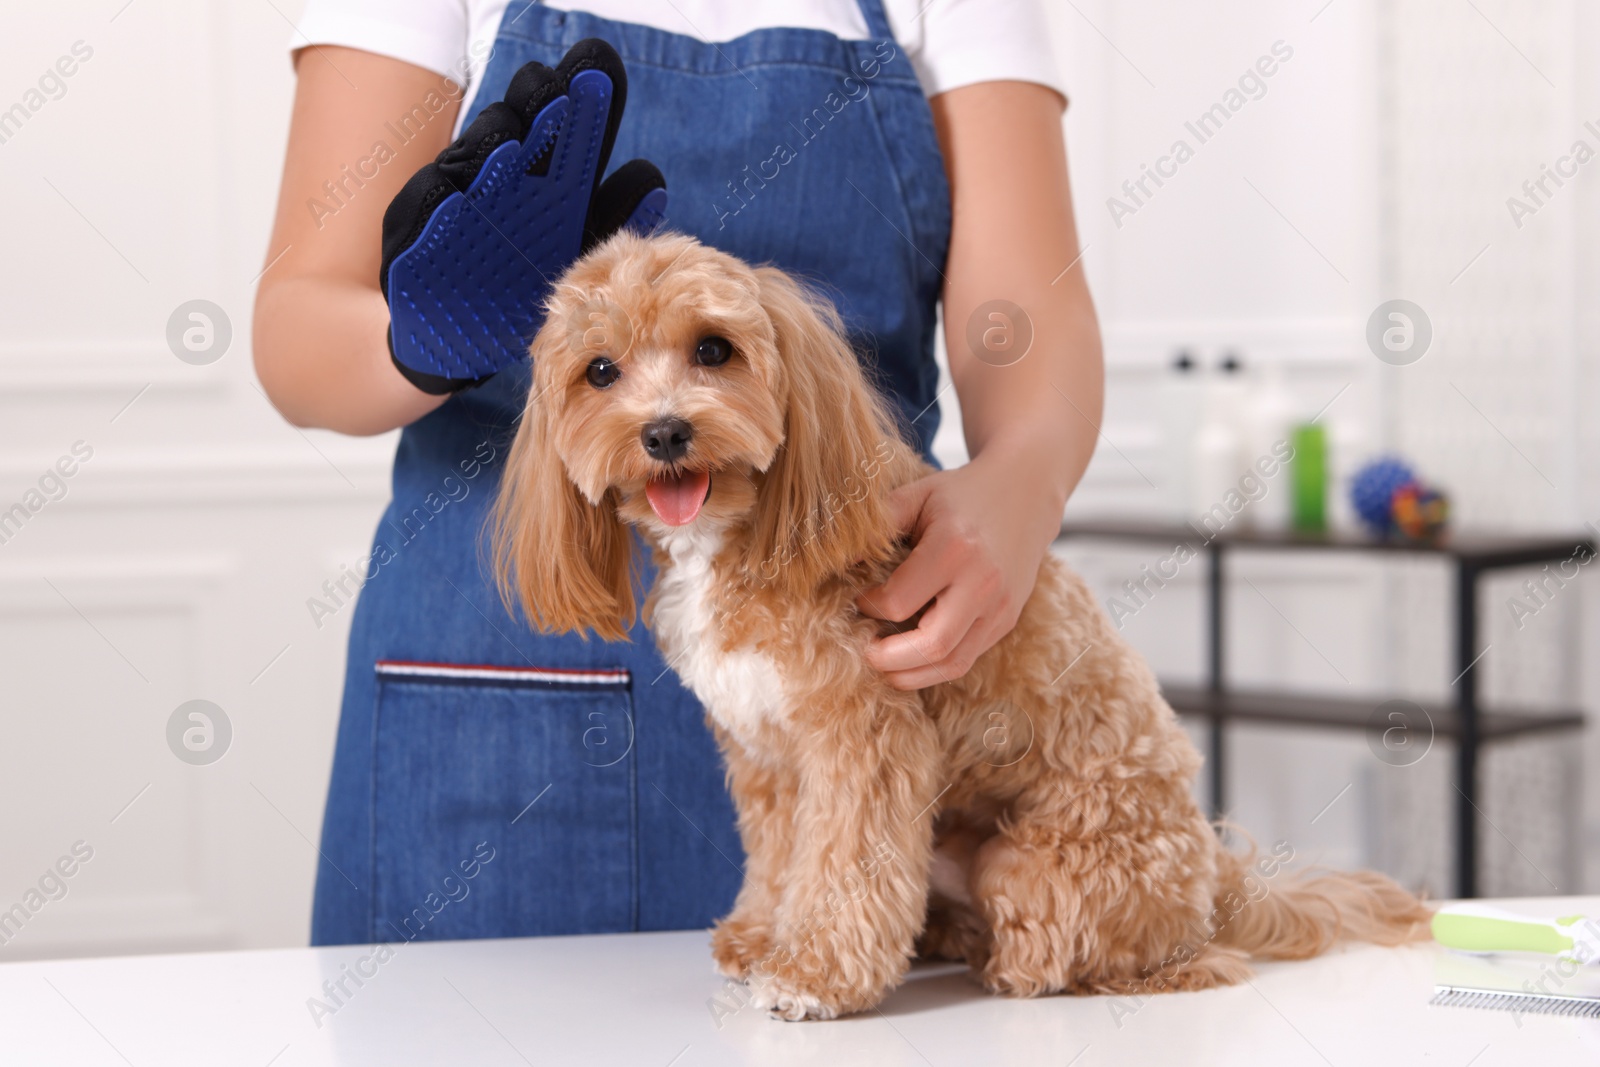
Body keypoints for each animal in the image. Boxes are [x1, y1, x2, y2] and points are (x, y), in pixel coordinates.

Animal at [492, 231, 1433, 1017]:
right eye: (601, 371)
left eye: (713, 349)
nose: (665, 431)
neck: (737, 538)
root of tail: (1218, 878)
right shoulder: (765, 753)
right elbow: (782, 857)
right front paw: (763, 933)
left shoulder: (865, 741)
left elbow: (843, 862)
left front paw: (812, 974)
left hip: (1042, 866)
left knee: (1166, 959)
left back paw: (1030, 963)